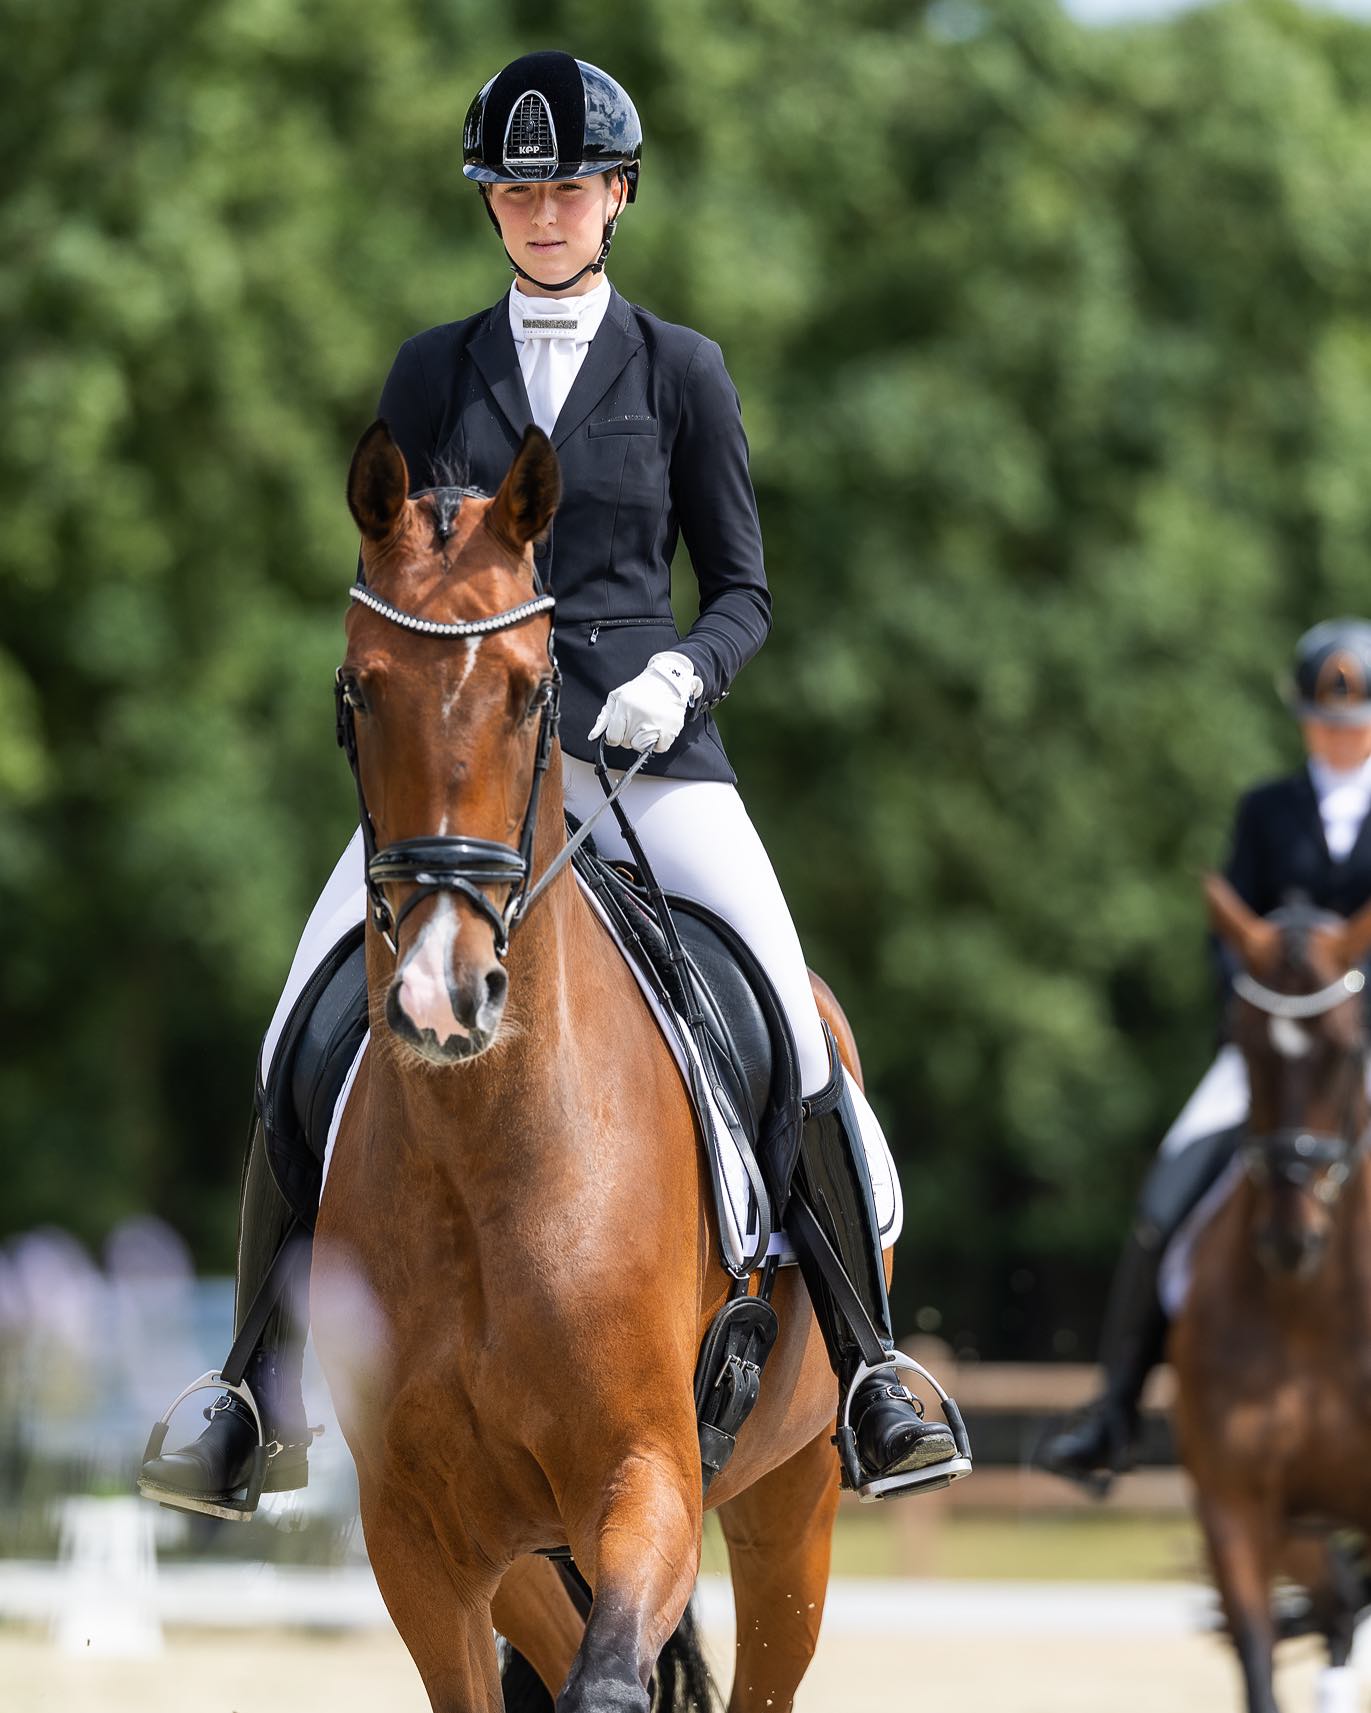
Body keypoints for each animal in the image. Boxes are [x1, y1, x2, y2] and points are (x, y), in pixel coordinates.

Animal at [310, 419, 890, 1713]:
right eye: (360, 690)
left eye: (535, 692)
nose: (442, 992)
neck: (484, 1153)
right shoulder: (419, 1540)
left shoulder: (646, 1477)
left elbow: (613, 1679)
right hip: (533, 1551)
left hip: (792, 1503)